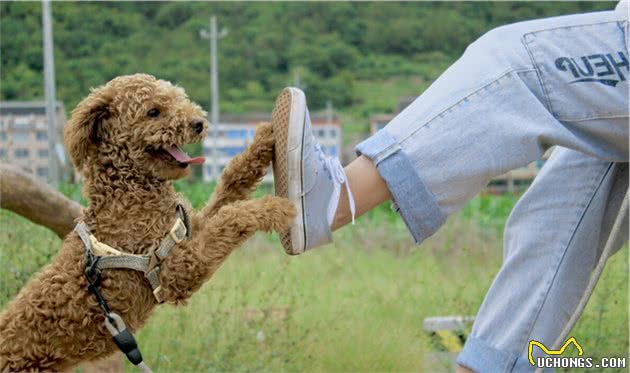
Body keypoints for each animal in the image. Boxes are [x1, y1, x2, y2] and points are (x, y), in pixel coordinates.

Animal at [0, 72, 296, 370]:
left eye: (178, 99)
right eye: (153, 112)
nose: (198, 123)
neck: (130, 191)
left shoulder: (189, 227)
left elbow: (228, 188)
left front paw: (263, 142)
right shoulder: (177, 271)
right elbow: (229, 218)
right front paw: (274, 207)